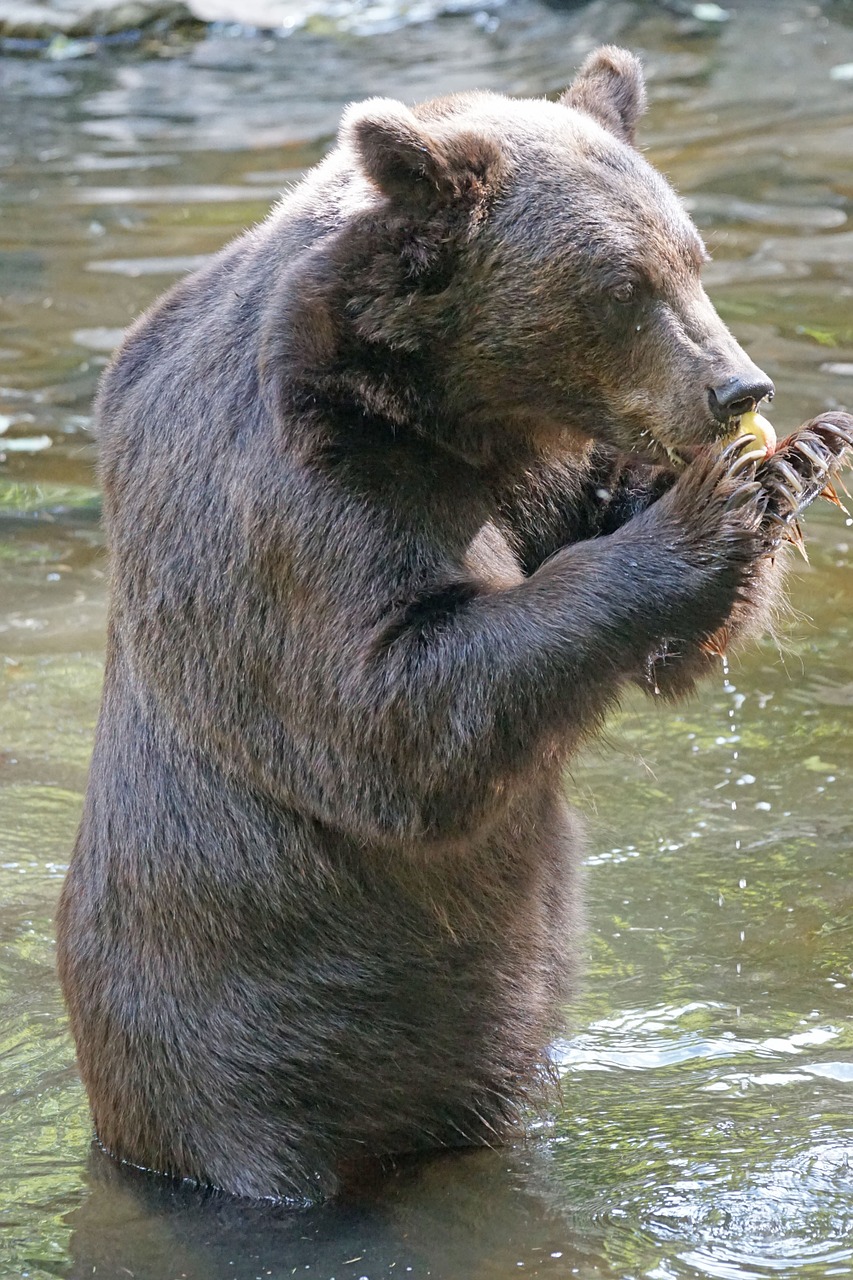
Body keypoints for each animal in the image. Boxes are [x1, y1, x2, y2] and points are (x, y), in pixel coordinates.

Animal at [56, 42, 845, 1198]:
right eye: (624, 284)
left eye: (693, 258)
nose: (736, 385)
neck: (429, 406)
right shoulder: (304, 501)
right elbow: (393, 714)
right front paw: (711, 508)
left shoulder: (528, 474)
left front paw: (791, 461)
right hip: (234, 1040)